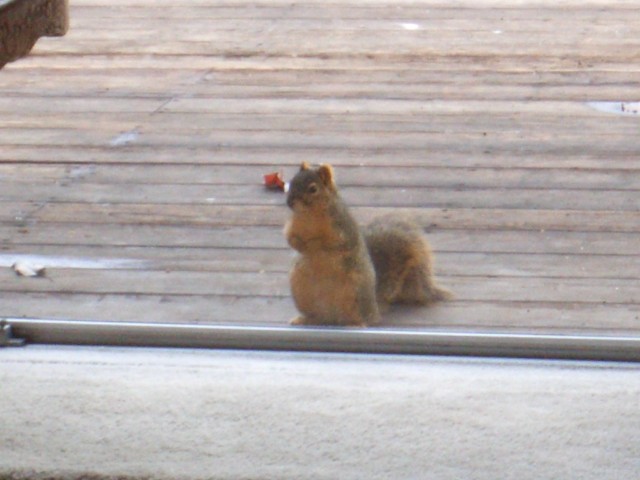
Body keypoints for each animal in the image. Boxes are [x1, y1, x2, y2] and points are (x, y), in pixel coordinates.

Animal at [284, 162, 451, 327]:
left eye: (313, 189)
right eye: (292, 182)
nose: (289, 203)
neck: (309, 215)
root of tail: (375, 308)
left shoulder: (342, 229)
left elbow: (330, 243)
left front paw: (313, 244)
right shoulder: (293, 226)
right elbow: (290, 239)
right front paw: (300, 245)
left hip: (356, 293)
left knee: (359, 318)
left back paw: (356, 324)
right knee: (321, 317)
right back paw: (305, 319)